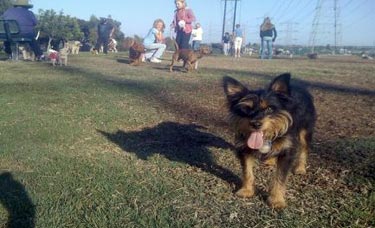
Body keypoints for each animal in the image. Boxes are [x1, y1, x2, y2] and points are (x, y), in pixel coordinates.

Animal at [223, 73, 318, 208]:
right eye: (247, 109)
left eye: (269, 109)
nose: (256, 124)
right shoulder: (244, 149)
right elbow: (247, 172)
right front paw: (247, 190)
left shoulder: (287, 152)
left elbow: (279, 177)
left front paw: (276, 200)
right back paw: (270, 160)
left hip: (305, 130)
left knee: (304, 149)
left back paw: (300, 168)